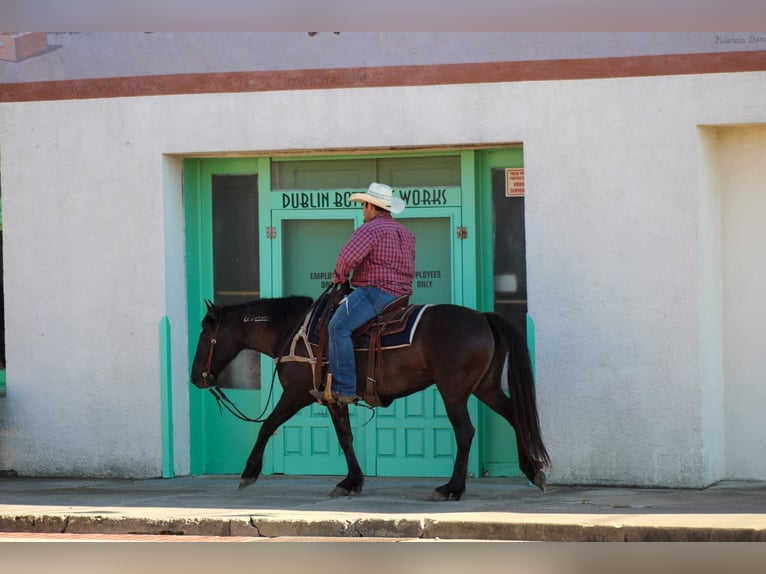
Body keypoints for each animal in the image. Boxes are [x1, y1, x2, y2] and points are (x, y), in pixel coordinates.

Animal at [192, 294, 552, 502]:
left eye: (205, 335)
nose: (197, 377)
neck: (293, 331)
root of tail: (483, 318)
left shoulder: (295, 394)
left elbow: (267, 425)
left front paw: (249, 473)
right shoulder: (333, 398)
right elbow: (345, 438)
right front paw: (350, 482)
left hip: (454, 392)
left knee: (465, 432)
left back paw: (451, 488)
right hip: (485, 387)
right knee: (515, 415)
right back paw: (532, 471)